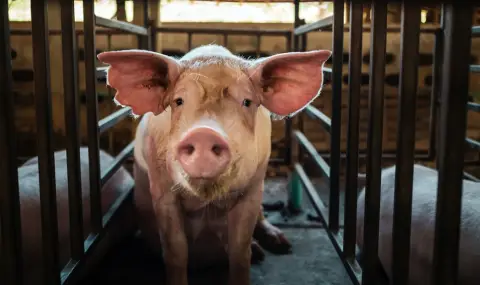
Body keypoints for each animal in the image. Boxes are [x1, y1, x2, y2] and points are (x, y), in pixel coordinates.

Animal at [96, 45, 332, 284]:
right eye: (178, 101)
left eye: (247, 102)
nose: (204, 133)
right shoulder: (161, 188)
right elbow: (176, 251)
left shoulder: (253, 187)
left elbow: (240, 252)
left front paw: (255, 253)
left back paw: (279, 246)